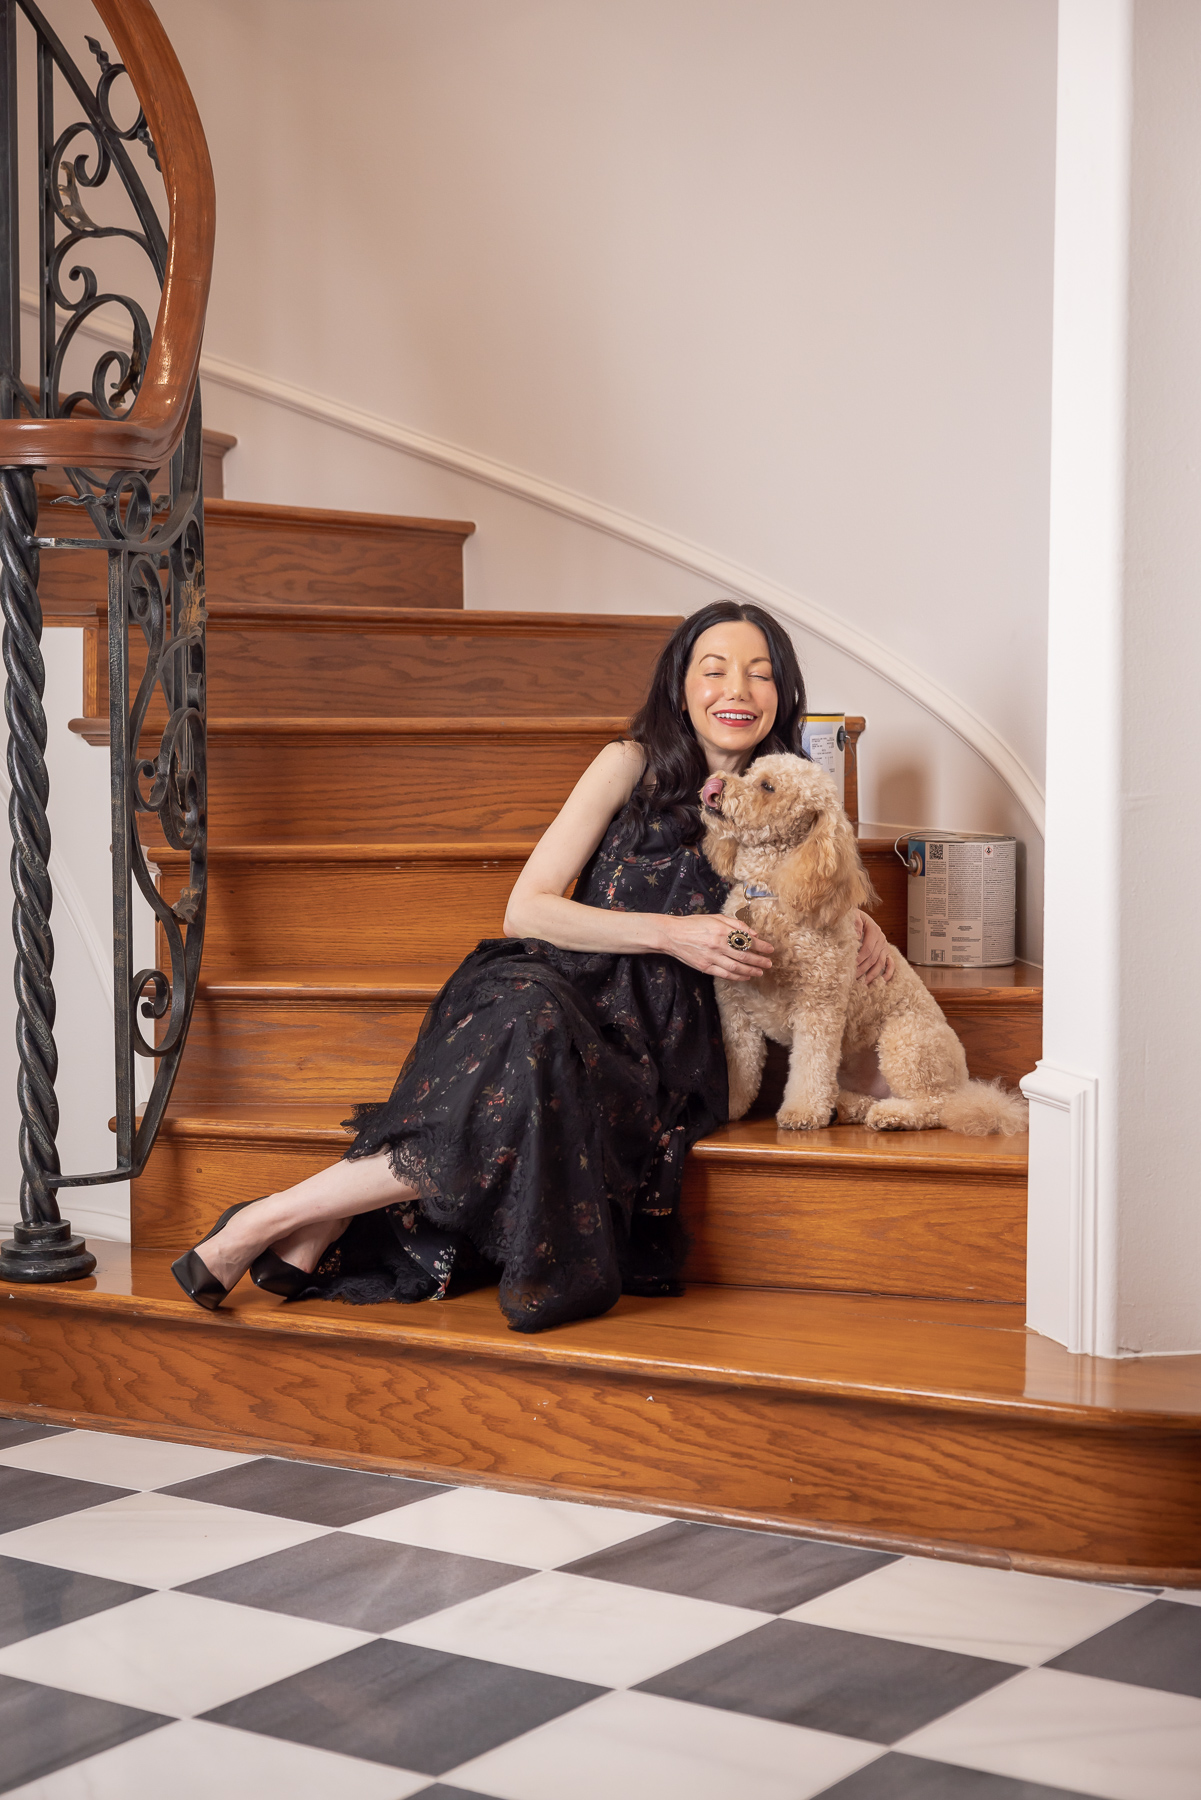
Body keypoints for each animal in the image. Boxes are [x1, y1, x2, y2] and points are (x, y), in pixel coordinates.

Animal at [698, 752, 1029, 1130]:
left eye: (767, 786)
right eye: (748, 771)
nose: (714, 784)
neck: (770, 894)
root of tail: (964, 1082)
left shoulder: (818, 1008)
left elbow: (810, 1069)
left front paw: (802, 1112)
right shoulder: (734, 1008)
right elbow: (740, 1069)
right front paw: (727, 1108)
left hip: (905, 1043)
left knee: (937, 1106)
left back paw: (890, 1116)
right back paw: (850, 1106)